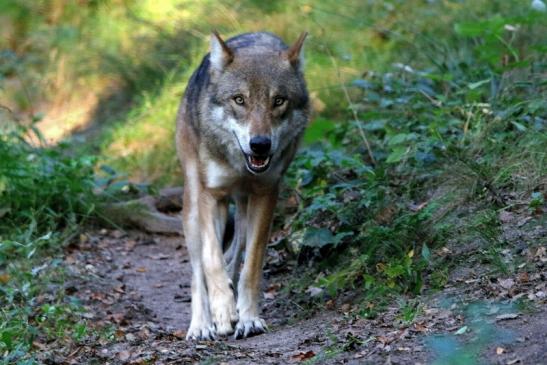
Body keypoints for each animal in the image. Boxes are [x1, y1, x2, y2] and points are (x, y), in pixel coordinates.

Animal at [178, 30, 310, 338]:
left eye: (279, 100)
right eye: (239, 100)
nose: (260, 144)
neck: (241, 165)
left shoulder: (266, 194)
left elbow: (251, 265)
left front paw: (248, 318)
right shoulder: (210, 195)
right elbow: (211, 260)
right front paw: (224, 311)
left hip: (242, 204)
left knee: (237, 246)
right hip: (193, 205)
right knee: (197, 270)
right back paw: (201, 325)